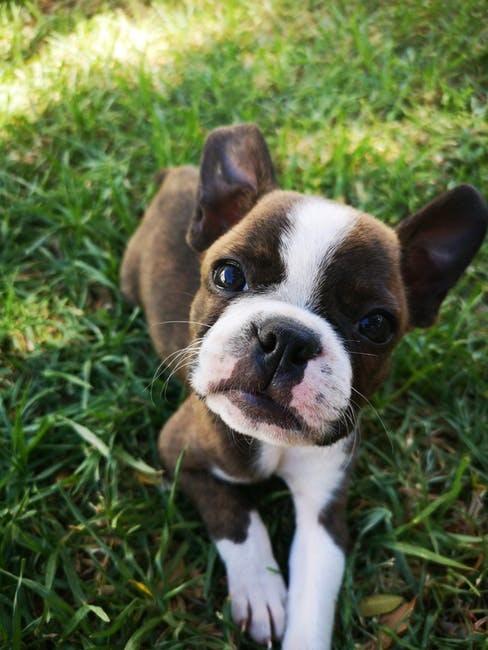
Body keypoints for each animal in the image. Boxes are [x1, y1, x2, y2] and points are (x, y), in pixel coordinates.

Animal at [119, 124, 488, 644]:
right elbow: (237, 517)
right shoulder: (180, 453)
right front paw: (260, 590)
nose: (286, 339)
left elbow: (314, 598)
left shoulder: (324, 509)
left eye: (376, 325)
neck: (272, 442)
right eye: (228, 275)